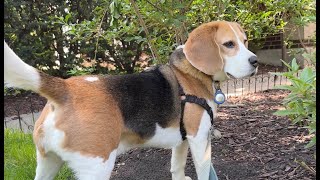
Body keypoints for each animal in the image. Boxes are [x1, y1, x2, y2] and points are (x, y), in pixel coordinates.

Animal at [4, 20, 258, 179]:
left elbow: (176, 167)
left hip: (47, 162)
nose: (255, 61)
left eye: (245, 41)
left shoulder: (182, 139)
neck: (192, 73)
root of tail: (65, 88)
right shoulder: (199, 139)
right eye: (228, 44)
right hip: (97, 166)